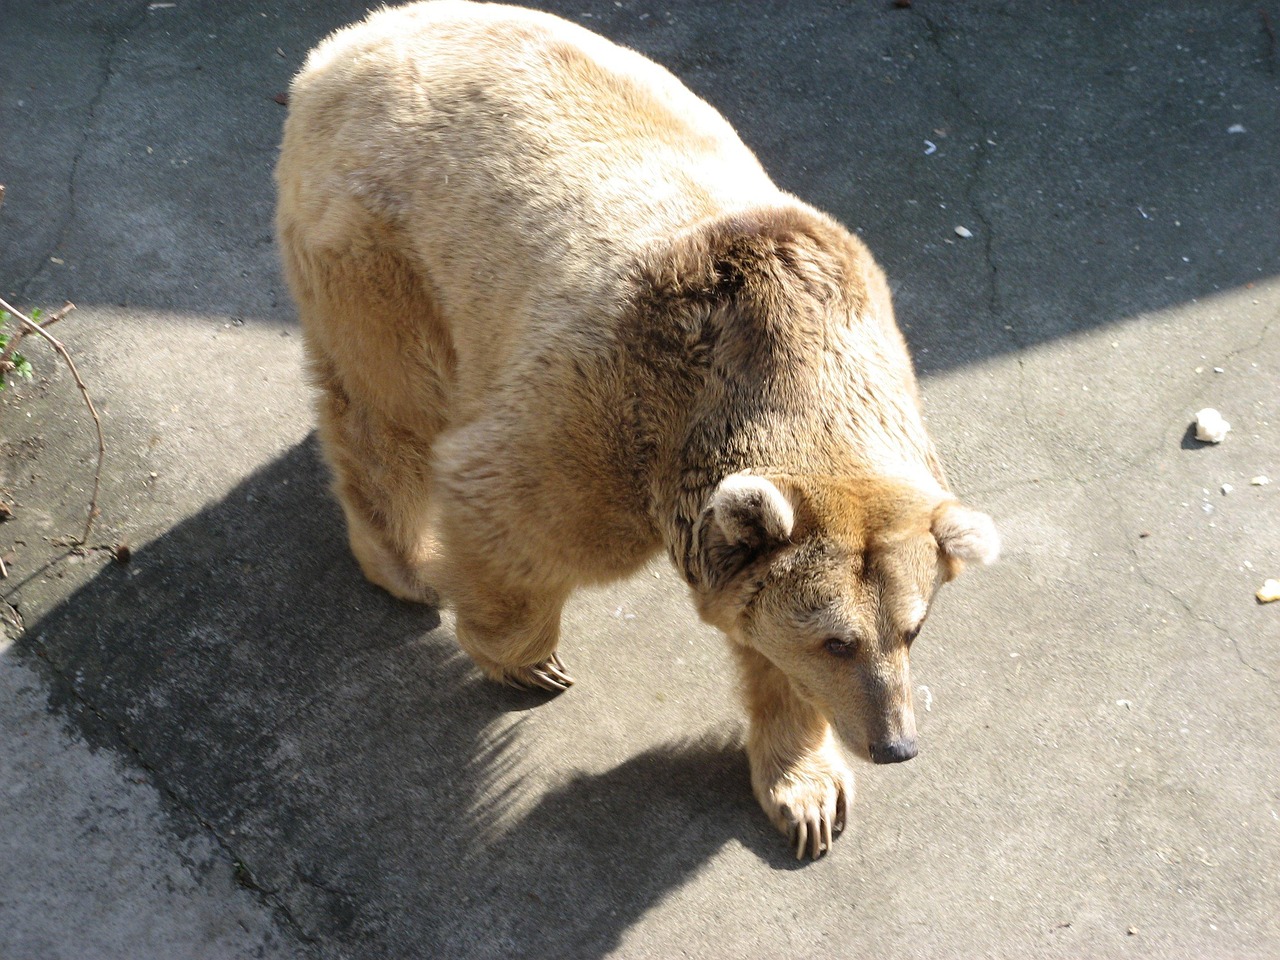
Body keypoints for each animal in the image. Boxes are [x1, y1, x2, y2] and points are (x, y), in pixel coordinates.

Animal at [277, 0, 998, 855]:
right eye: (837, 639)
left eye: (912, 630)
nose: (895, 744)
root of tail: (347, 45)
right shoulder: (609, 416)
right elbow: (505, 509)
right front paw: (525, 660)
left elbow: (767, 657)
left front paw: (807, 798)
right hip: (388, 247)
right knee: (388, 406)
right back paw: (406, 564)